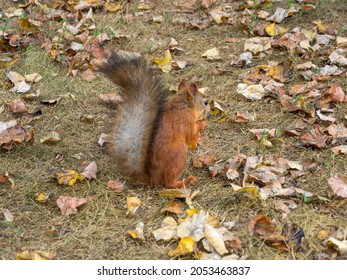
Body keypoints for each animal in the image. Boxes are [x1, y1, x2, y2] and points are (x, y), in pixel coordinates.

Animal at [98, 52, 209, 188]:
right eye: (205, 102)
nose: (209, 108)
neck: (183, 105)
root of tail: (153, 178)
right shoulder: (187, 122)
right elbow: (192, 135)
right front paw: (201, 126)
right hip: (179, 154)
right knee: (169, 183)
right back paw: (187, 181)